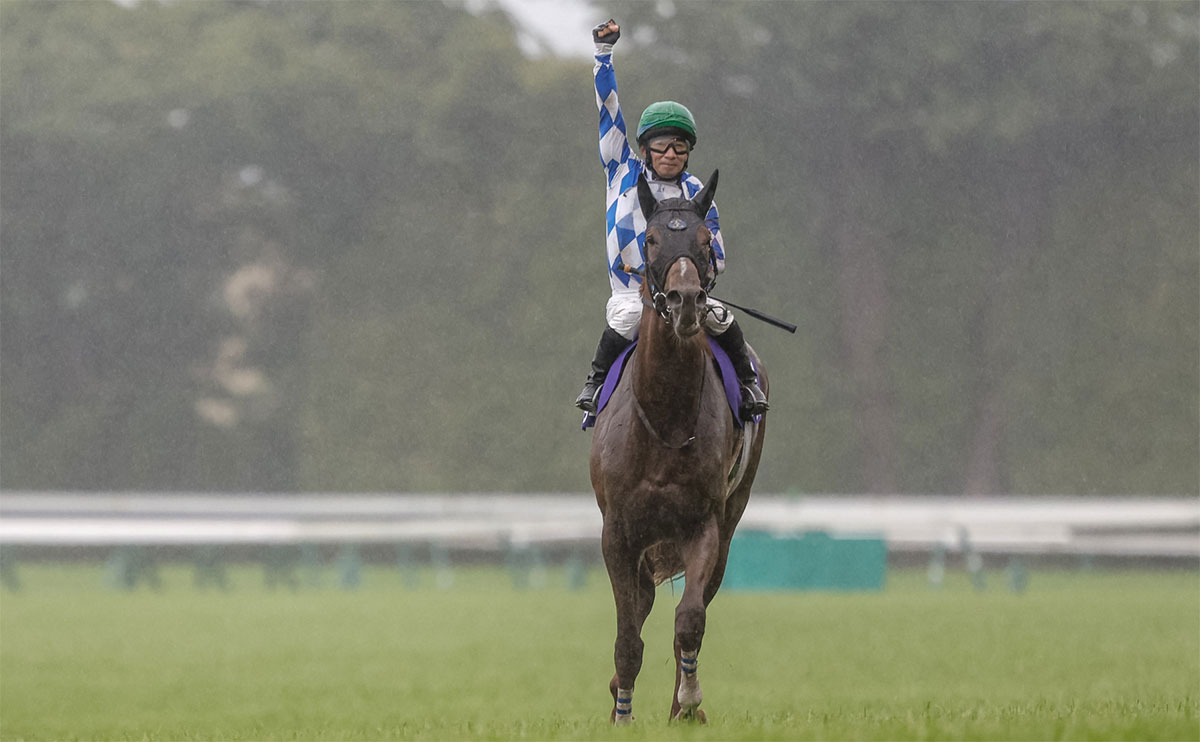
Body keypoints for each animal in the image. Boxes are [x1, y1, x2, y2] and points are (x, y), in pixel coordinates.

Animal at [590, 169, 768, 720]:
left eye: (705, 240)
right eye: (649, 238)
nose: (686, 300)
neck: (665, 419)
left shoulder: (703, 525)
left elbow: (688, 620)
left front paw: (688, 705)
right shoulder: (618, 531)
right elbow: (628, 637)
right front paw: (622, 713)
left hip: (730, 521)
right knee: (643, 606)